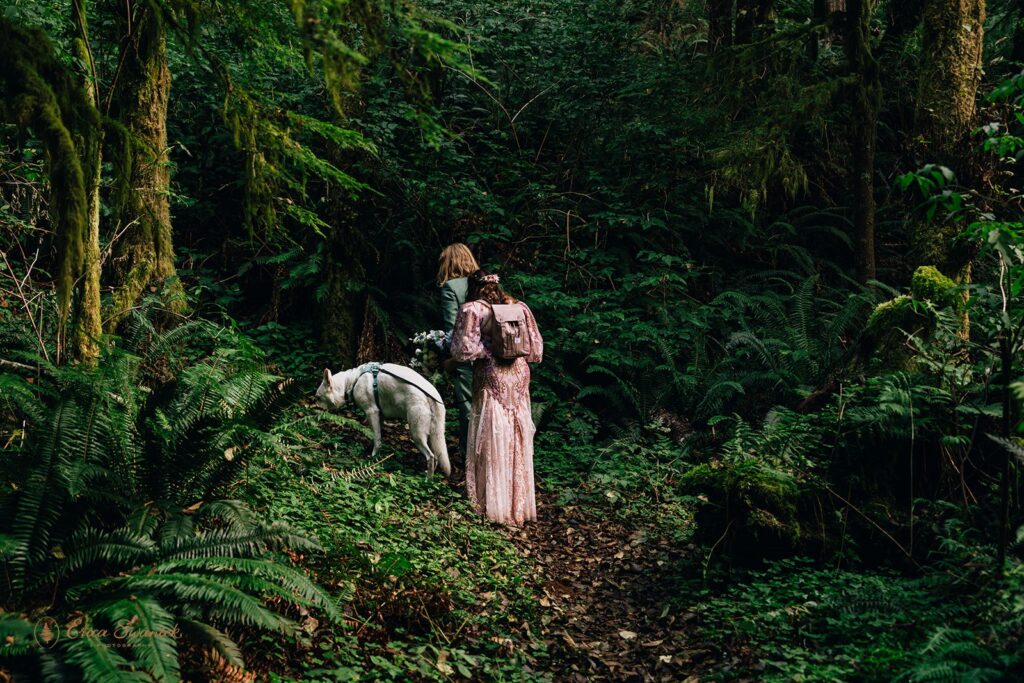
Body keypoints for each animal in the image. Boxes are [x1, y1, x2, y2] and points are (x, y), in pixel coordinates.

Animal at [315, 362, 452, 475]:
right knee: (436, 457)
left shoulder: (372, 412)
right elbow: (377, 437)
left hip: (416, 433)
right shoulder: (379, 417)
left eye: (318, 397)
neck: (352, 381)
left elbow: (377, 439)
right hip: (431, 435)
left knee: (431, 457)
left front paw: (373, 456)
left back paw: (427, 479)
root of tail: (432, 395)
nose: (314, 408)